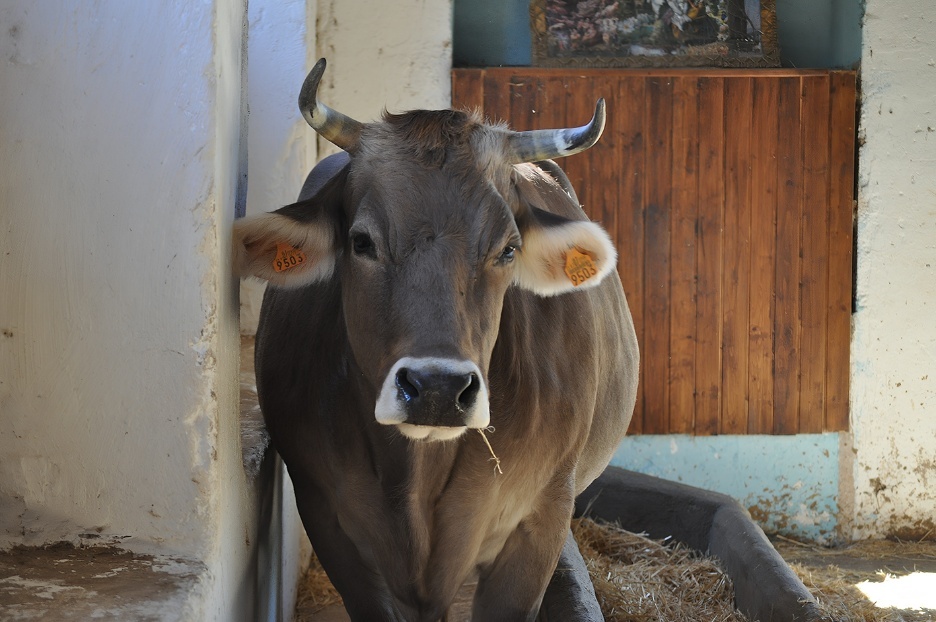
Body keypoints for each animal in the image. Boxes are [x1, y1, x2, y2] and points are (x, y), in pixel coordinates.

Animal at [233, 58, 639, 621]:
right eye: (361, 242)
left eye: (508, 249)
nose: (438, 389)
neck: (419, 475)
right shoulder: (328, 517)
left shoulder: (540, 518)